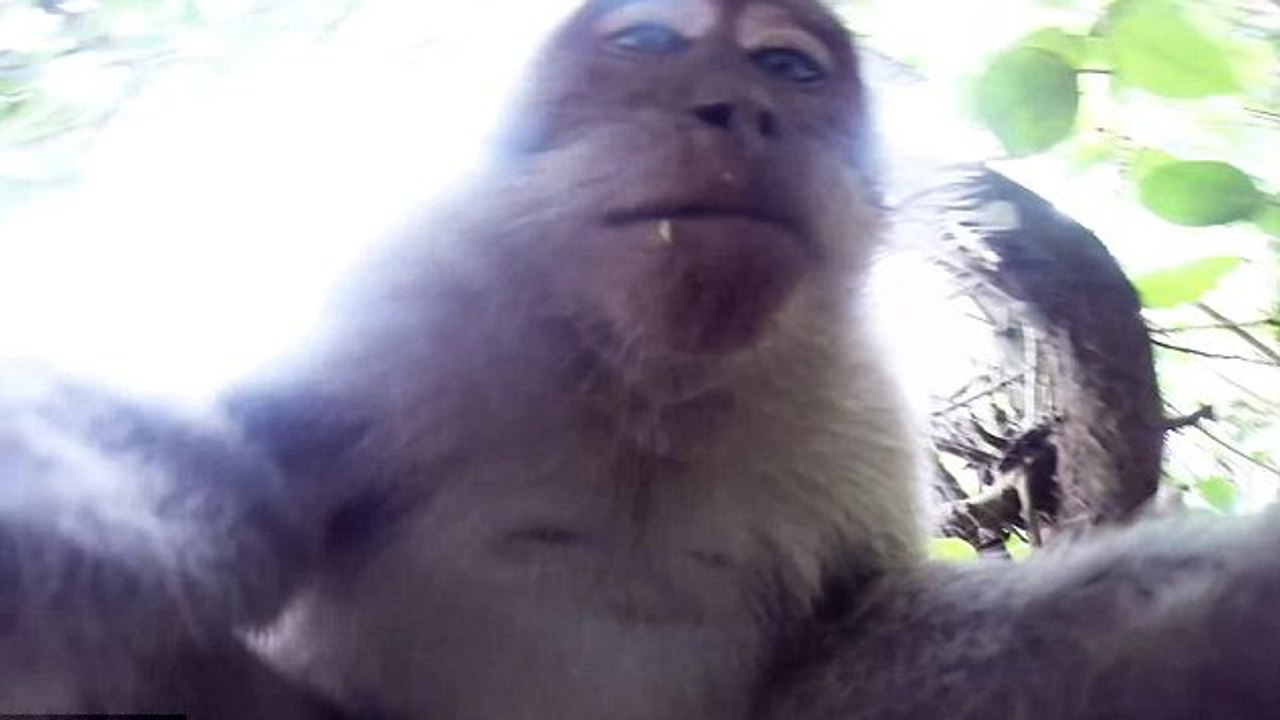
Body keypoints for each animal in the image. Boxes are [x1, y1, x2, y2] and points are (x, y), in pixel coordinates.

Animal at [3, 0, 1280, 719]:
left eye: (788, 70)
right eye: (651, 43)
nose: (735, 111)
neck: (646, 389)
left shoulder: (853, 409)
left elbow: (857, 635)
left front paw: (1231, 618)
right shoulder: (406, 308)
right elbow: (238, 489)